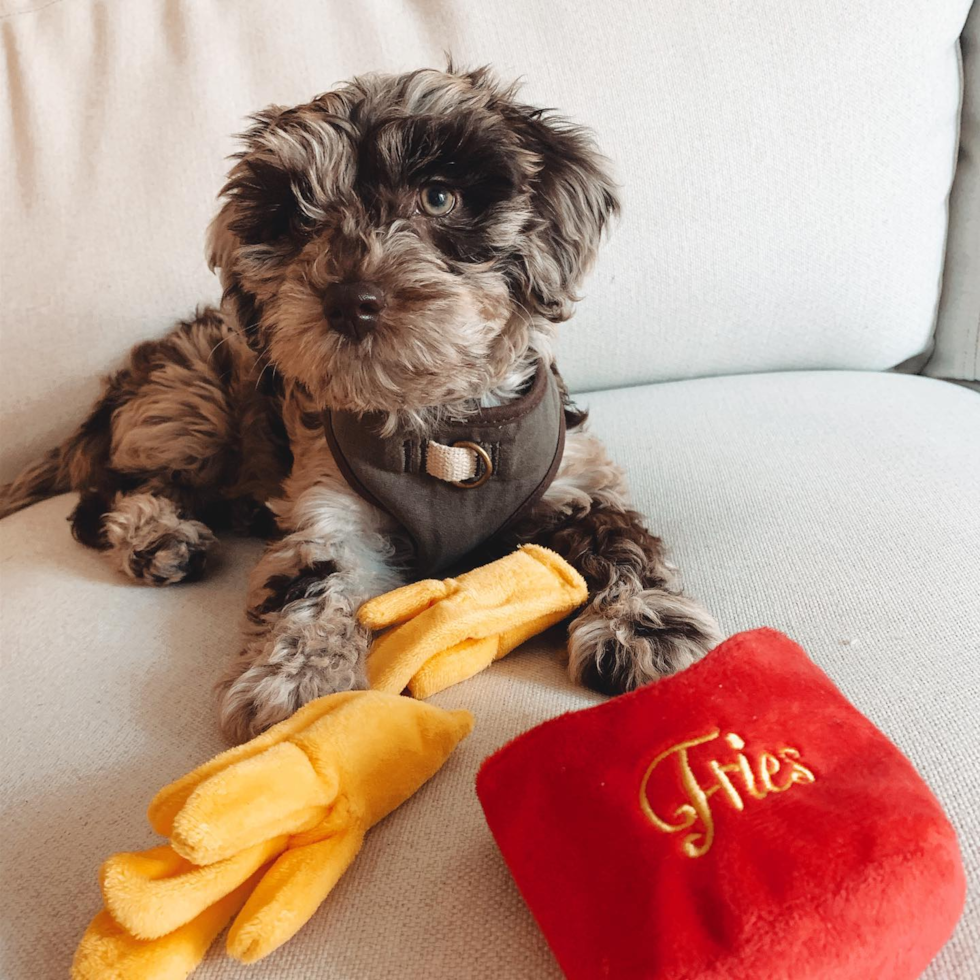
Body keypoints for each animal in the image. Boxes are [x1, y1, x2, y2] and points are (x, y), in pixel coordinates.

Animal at [0, 67, 720, 744]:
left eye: (439, 196)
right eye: (296, 220)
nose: (349, 300)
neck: (443, 432)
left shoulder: (576, 480)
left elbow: (623, 544)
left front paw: (645, 627)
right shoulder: (330, 503)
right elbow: (316, 578)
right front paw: (294, 676)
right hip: (194, 397)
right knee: (110, 496)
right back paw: (160, 537)